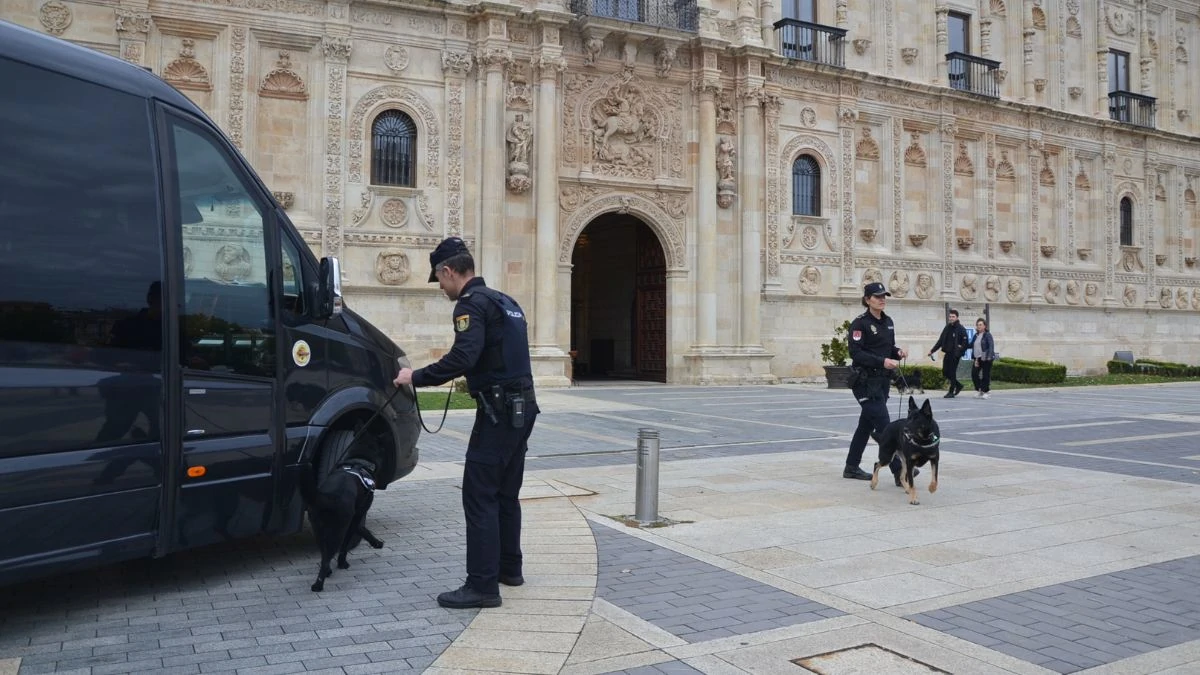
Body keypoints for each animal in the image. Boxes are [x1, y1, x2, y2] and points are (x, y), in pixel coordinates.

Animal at [304, 439, 384, 586]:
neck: (358, 463)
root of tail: (328, 496)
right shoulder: (357, 516)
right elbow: (345, 546)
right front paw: (342, 563)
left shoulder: (356, 517)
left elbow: (363, 530)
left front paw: (376, 543)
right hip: (338, 531)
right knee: (327, 558)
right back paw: (318, 584)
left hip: (318, 530)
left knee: (324, 555)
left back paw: (327, 572)